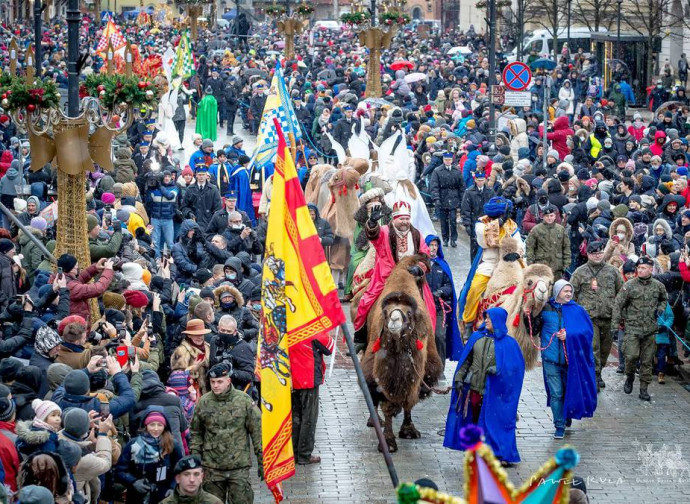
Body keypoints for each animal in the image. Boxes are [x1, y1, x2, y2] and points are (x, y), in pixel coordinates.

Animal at [358, 256, 444, 452]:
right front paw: (388, 443)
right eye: (386, 311)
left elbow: (409, 401)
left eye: (409, 313)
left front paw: (409, 430)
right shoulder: (380, 373)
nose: (394, 320)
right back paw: (374, 421)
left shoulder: (418, 375)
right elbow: (386, 404)